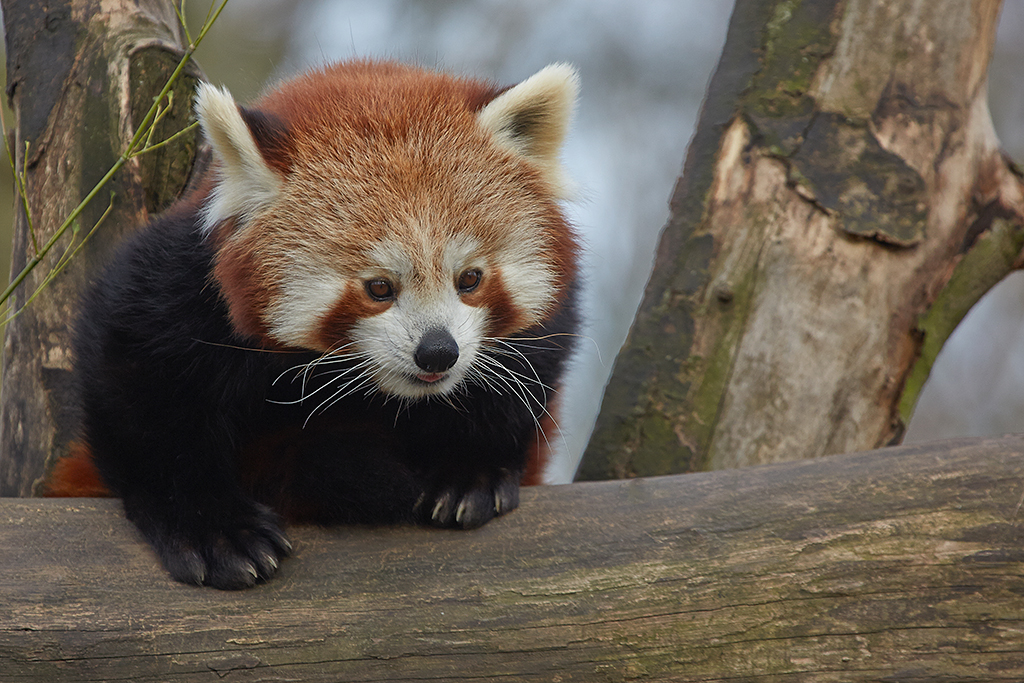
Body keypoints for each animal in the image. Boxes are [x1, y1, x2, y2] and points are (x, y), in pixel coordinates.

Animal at [56, 61, 581, 589]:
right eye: (378, 288)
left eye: (469, 279)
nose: (437, 352)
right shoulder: (176, 289)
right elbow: (141, 389)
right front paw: (212, 526)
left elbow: (527, 372)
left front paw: (468, 468)